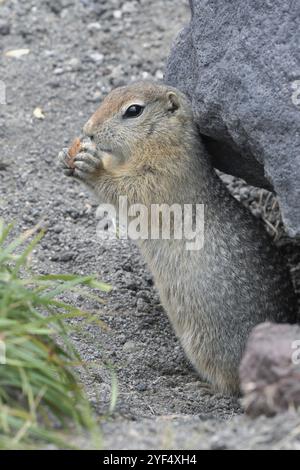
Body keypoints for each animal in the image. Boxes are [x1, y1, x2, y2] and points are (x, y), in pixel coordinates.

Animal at [57, 81, 296, 396]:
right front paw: (67, 155)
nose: (89, 130)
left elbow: (131, 189)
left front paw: (91, 165)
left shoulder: (164, 173)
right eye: (110, 94)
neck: (160, 140)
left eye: (133, 110)